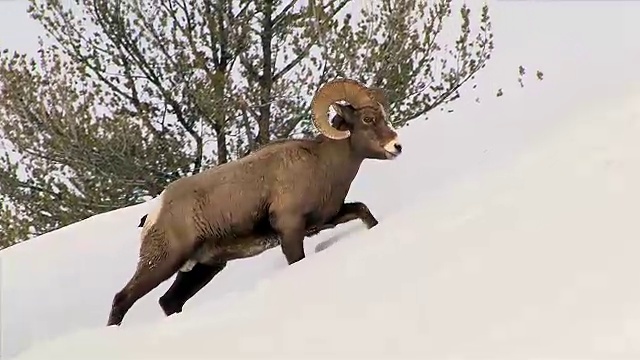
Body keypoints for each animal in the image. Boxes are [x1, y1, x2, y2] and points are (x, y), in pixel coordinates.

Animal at [107, 79, 402, 326]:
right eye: (368, 119)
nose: (397, 146)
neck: (322, 164)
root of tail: (154, 214)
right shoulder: (290, 231)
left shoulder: (328, 218)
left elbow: (364, 212)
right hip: (163, 263)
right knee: (122, 299)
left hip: (203, 268)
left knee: (169, 302)